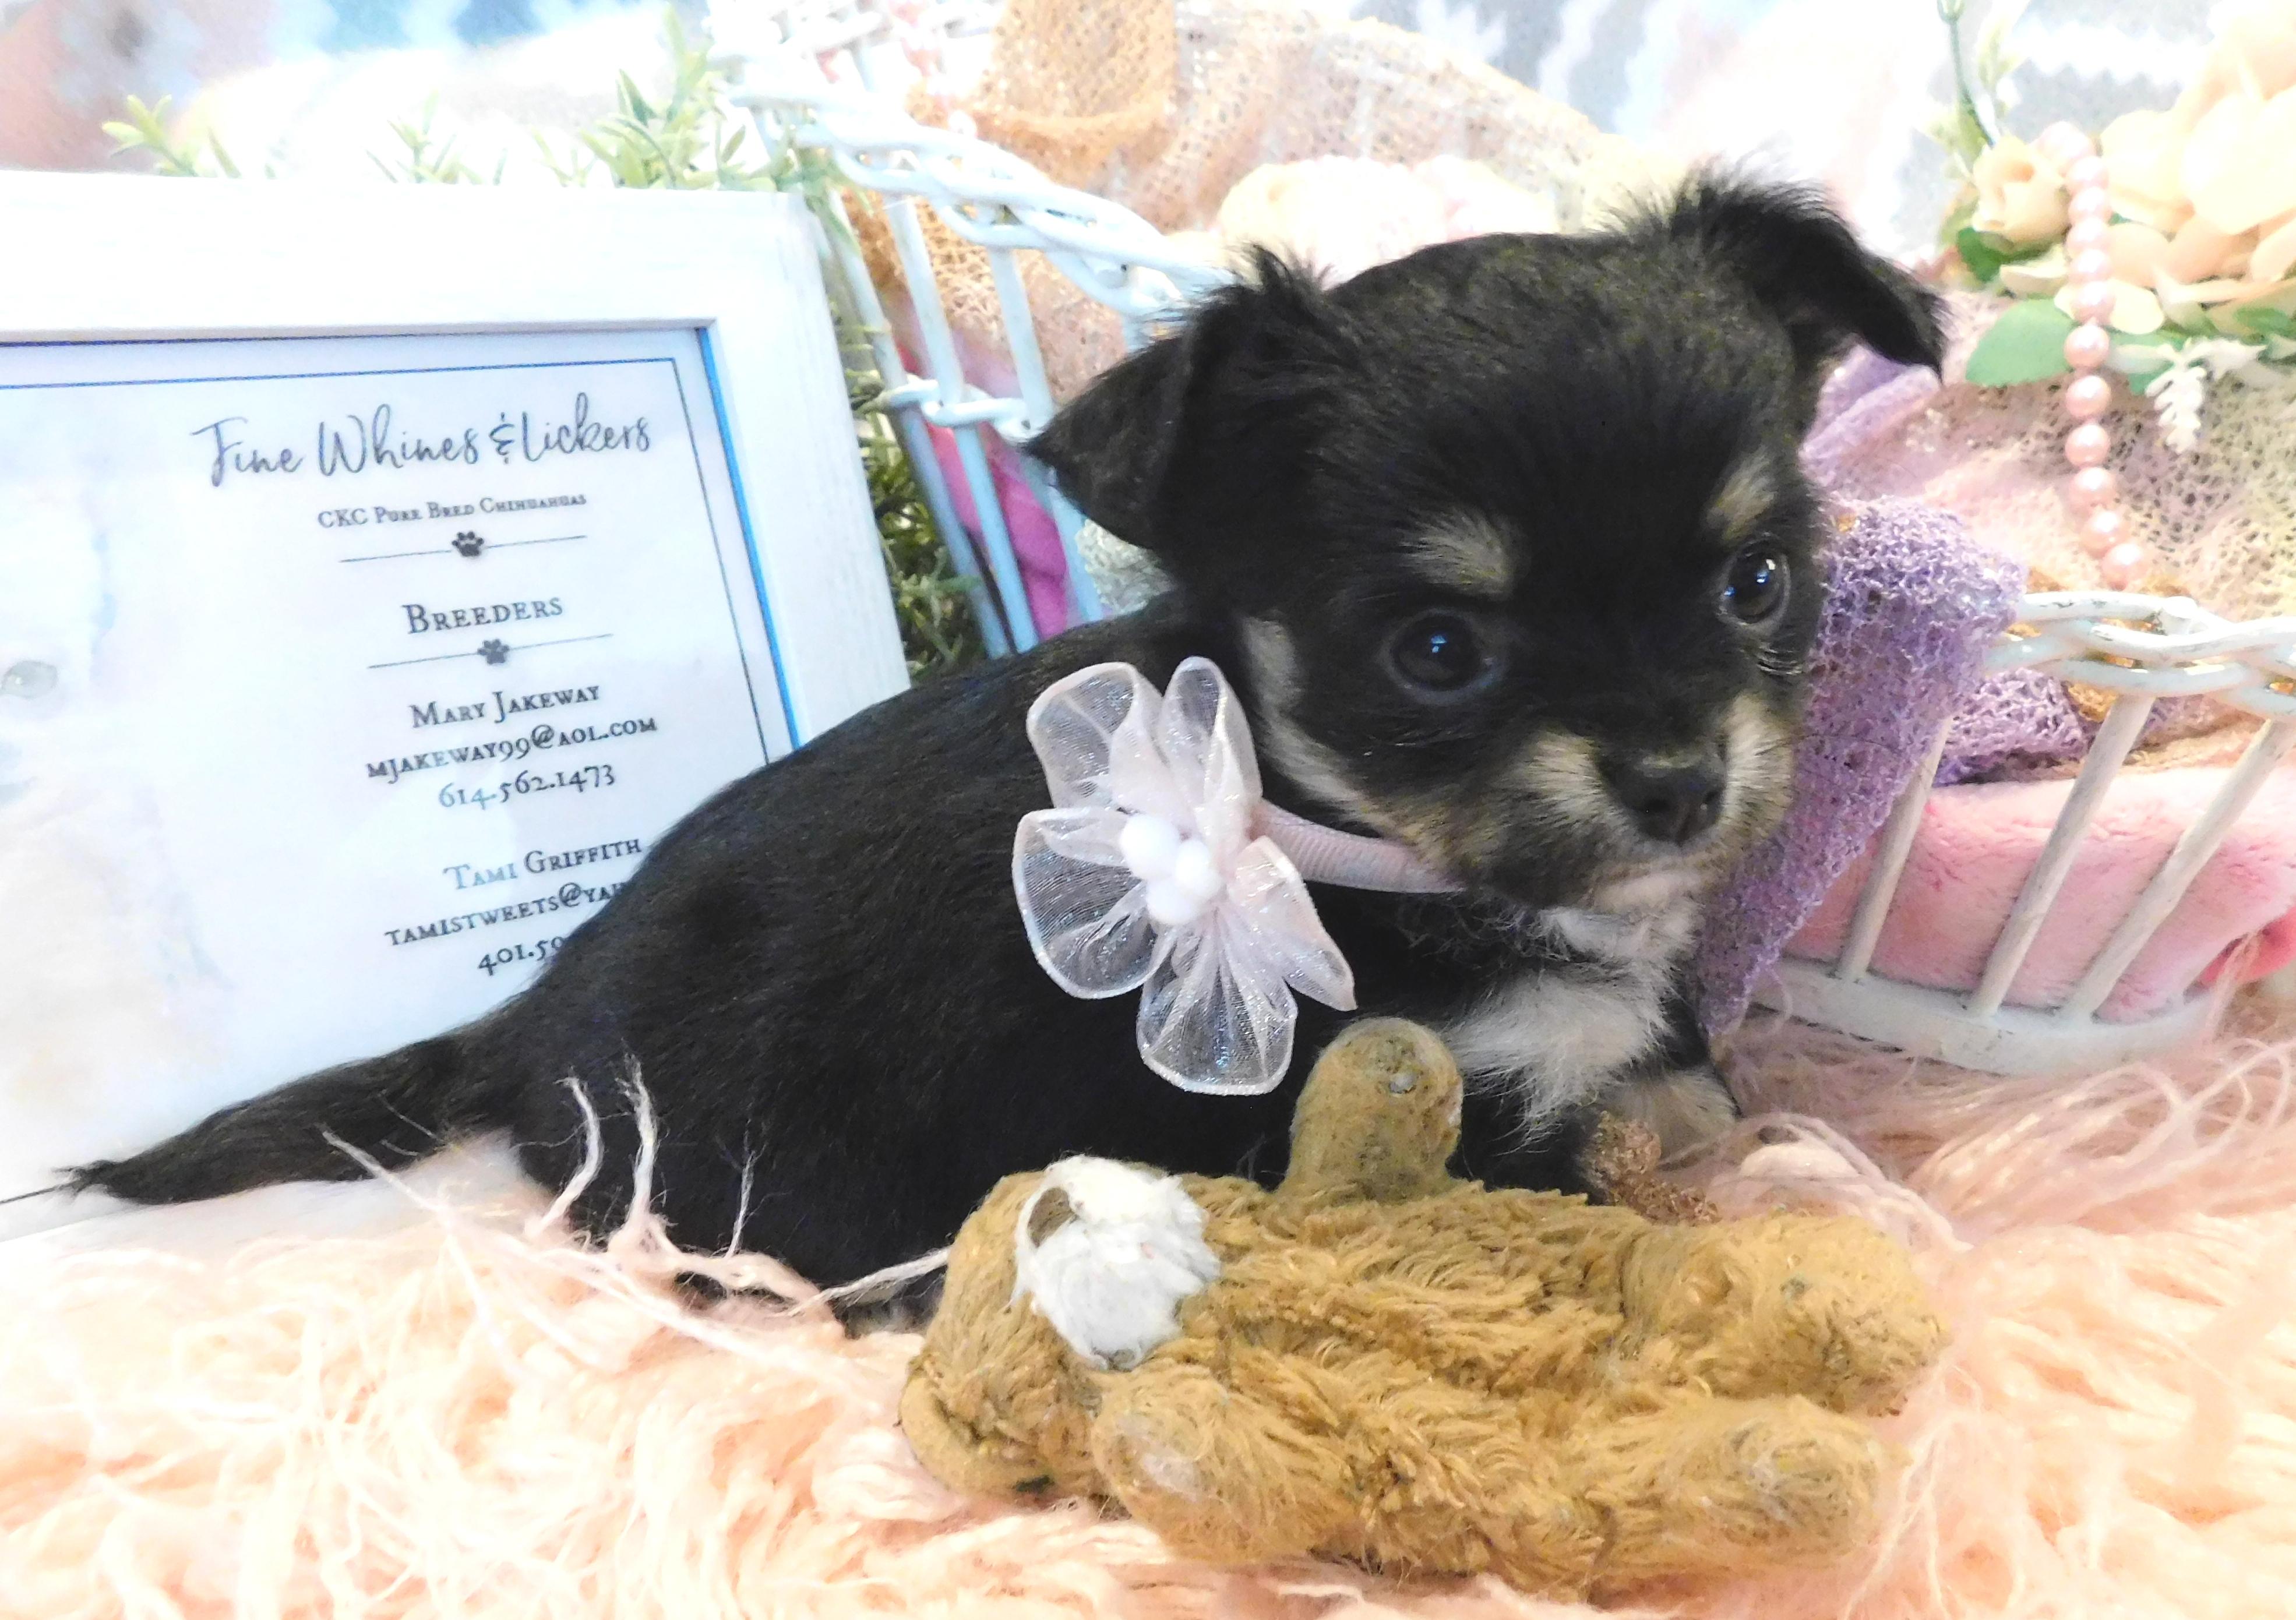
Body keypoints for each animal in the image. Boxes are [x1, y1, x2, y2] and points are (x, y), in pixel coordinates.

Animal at [63, 175, 1940, 1297]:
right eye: (1435, 651)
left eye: (1758, 580)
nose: (1680, 782)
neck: (1321, 831)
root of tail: (524, 1020)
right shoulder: (1453, 1131)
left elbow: (1692, 1078)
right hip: (775, 1175)